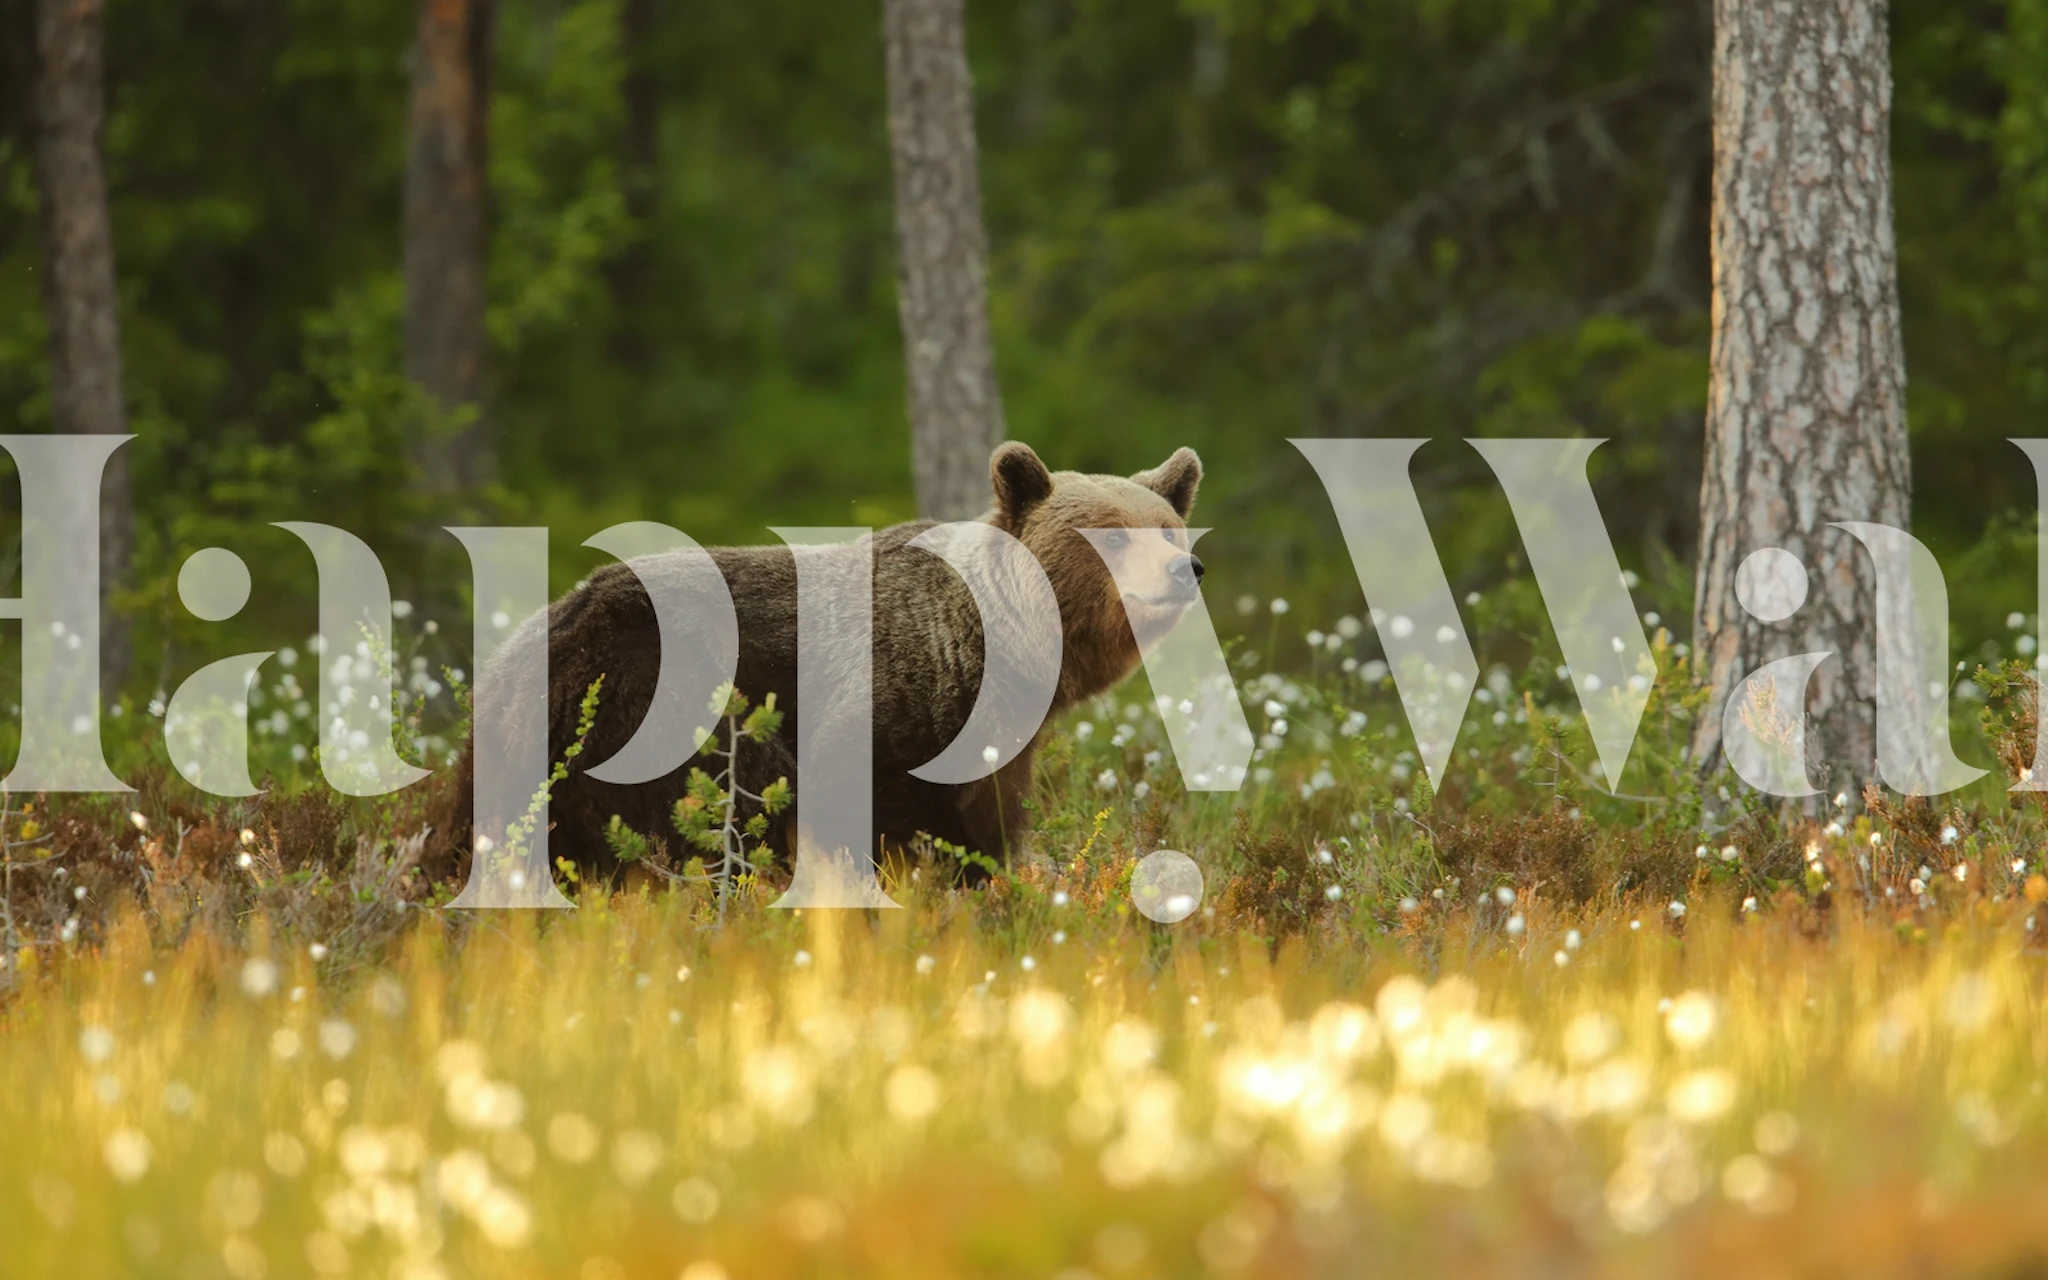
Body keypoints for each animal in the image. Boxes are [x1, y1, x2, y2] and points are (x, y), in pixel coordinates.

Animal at [449, 442, 1205, 884]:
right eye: (1112, 533)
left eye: (1170, 527)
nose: (1184, 568)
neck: (1001, 651)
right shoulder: (887, 701)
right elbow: (868, 808)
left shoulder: (997, 738)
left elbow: (986, 818)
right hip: (652, 695)